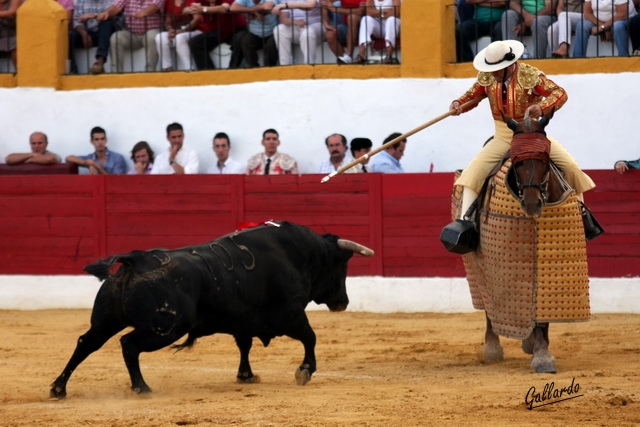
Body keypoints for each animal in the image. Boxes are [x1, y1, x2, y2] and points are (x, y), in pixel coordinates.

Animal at [50, 222, 376, 400]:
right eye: (342, 265)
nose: (343, 301)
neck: (298, 254)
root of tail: (137, 259)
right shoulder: (291, 314)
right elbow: (310, 337)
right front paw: (305, 371)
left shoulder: (244, 321)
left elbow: (244, 345)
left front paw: (246, 376)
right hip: (166, 328)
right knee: (128, 344)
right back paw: (141, 387)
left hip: (106, 320)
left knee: (86, 343)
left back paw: (58, 388)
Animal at [450, 108, 592, 374]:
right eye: (517, 163)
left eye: (545, 161)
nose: (532, 204)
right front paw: (541, 355)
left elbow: (542, 317)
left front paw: (541, 351)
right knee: (488, 305)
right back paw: (492, 348)